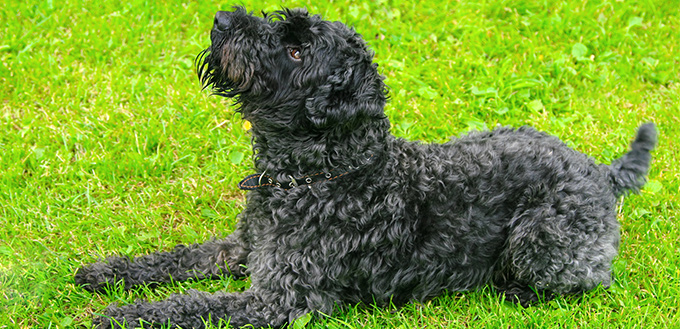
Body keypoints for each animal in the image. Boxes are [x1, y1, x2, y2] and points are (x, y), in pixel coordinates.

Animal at [75, 6, 660, 326]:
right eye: (282, 26)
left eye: (295, 51)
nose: (221, 20)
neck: (322, 173)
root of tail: (599, 170)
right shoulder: (242, 250)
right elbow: (174, 260)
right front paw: (109, 273)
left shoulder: (279, 301)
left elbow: (189, 304)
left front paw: (127, 315)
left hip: (538, 241)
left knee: (578, 281)